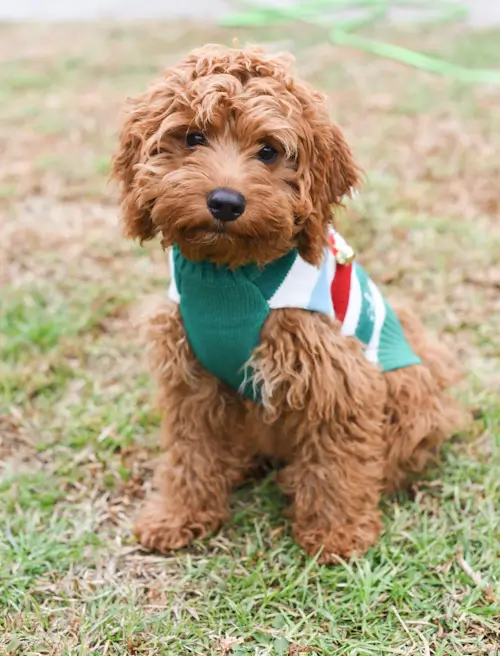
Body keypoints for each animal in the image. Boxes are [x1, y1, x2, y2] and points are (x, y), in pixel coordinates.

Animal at [111, 44, 462, 564]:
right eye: (193, 137)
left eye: (269, 151)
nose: (225, 202)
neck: (230, 273)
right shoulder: (191, 377)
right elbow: (190, 450)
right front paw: (178, 516)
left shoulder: (340, 378)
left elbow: (339, 462)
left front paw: (337, 534)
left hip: (412, 383)